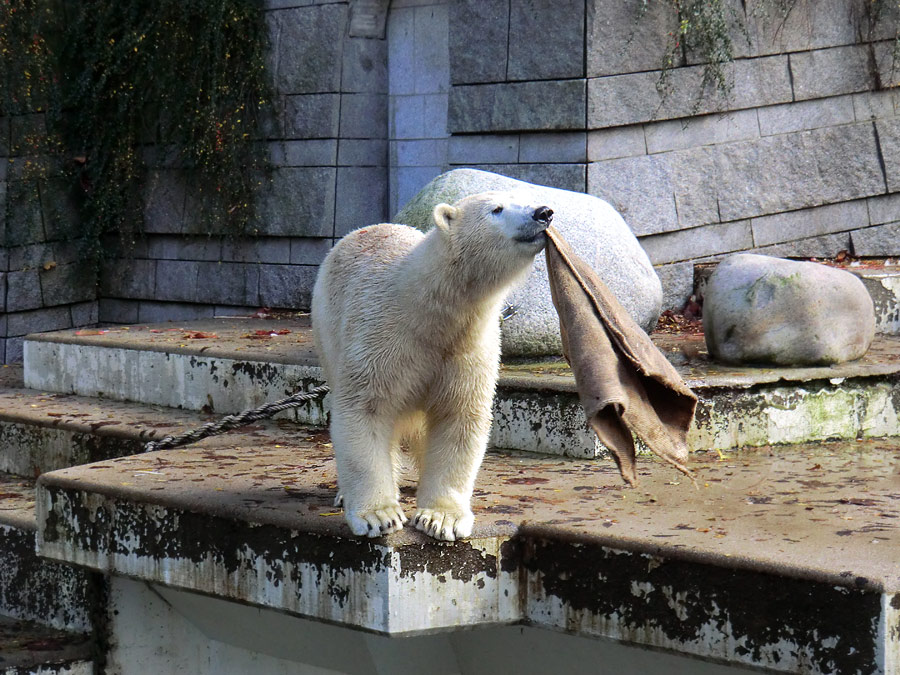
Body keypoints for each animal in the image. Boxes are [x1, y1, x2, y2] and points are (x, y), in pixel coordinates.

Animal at [310, 193, 552, 540]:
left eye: (524, 198)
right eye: (497, 209)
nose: (543, 212)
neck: (428, 309)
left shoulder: (468, 349)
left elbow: (459, 417)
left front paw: (441, 518)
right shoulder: (380, 337)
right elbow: (365, 410)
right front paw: (378, 515)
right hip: (326, 327)